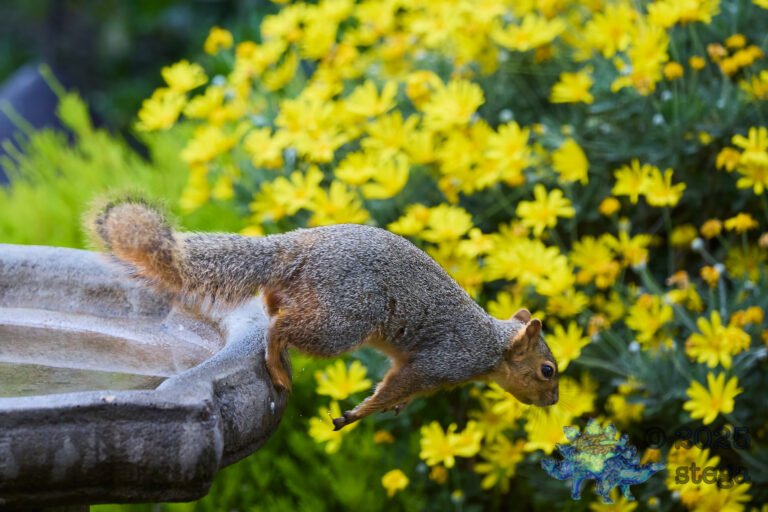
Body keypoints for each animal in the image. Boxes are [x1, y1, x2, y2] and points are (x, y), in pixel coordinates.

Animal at [86, 198, 559, 430]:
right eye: (548, 371)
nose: (554, 402)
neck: (491, 346)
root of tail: (301, 246)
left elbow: (398, 388)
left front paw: (393, 408)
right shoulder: (441, 361)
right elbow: (396, 385)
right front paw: (362, 412)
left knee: (274, 305)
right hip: (343, 320)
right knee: (280, 327)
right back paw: (278, 367)